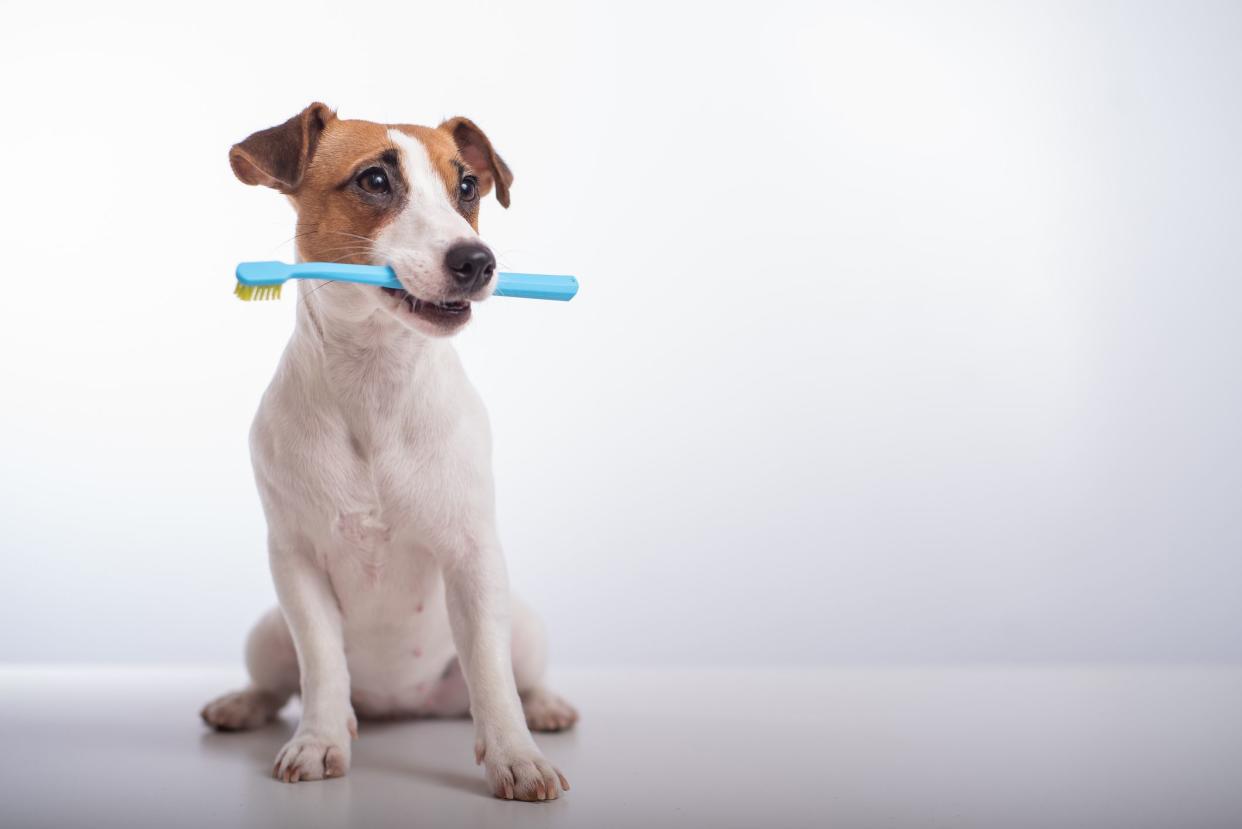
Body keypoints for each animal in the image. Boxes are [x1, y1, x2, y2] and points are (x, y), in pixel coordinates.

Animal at [199, 103, 576, 805]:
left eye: (468, 187)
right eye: (374, 181)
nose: (477, 261)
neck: (376, 380)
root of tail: (402, 706)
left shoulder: (473, 559)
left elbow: (492, 673)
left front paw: (517, 757)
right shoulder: (295, 562)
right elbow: (321, 663)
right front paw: (319, 741)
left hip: (525, 627)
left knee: (520, 673)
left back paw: (546, 707)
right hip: (268, 632)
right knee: (279, 681)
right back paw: (245, 704)